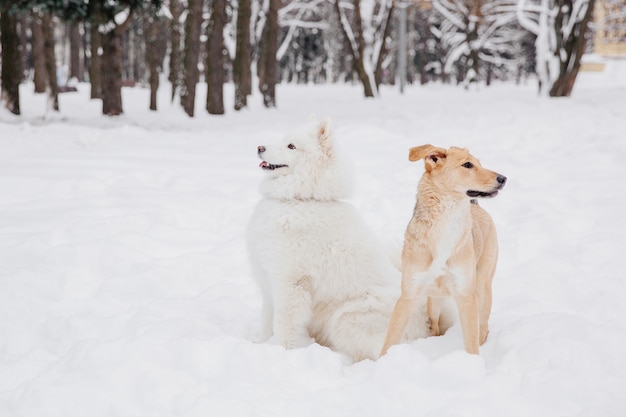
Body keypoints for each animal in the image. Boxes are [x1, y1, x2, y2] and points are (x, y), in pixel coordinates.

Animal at [244, 118, 424, 360]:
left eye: (291, 146)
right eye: (283, 140)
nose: (259, 147)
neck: (301, 200)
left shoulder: (290, 283)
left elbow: (283, 324)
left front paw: (278, 351)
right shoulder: (268, 279)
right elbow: (266, 319)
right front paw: (260, 344)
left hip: (345, 318)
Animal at [378, 145, 504, 354]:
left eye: (480, 163)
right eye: (467, 165)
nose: (503, 178)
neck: (445, 222)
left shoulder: (466, 295)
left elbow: (471, 344)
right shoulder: (409, 294)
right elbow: (390, 338)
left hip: (482, 288)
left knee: (483, 328)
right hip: (433, 300)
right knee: (435, 325)